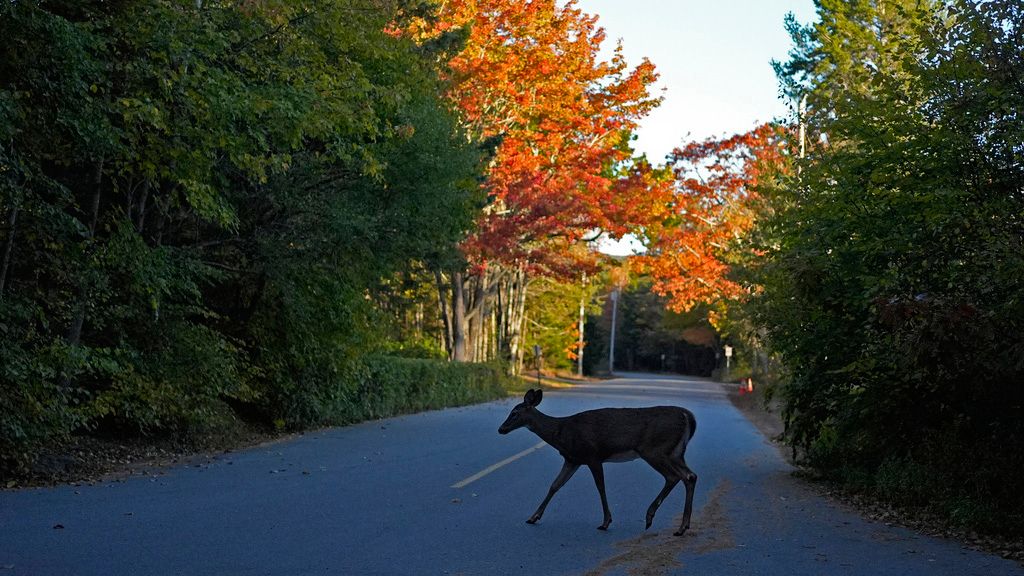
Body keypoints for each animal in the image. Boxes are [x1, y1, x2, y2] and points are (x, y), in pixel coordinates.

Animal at [495, 385, 696, 532]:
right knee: (690, 476)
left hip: (654, 449)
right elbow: (555, 485)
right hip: (676, 453)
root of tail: (688, 417)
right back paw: (683, 525)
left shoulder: (592, 455)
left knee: (675, 476)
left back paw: (655, 518)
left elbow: (600, 487)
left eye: (514, 413)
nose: (501, 429)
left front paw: (606, 521)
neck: (561, 433)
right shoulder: (573, 459)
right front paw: (533, 517)